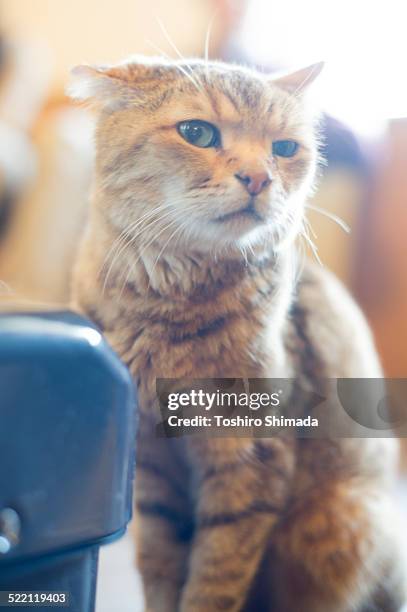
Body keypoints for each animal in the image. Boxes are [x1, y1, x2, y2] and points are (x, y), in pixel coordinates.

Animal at [69, 58, 404, 612]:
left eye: (284, 148)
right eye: (196, 133)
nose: (259, 177)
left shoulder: (251, 457)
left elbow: (216, 576)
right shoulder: (153, 469)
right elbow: (162, 567)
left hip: (342, 519)